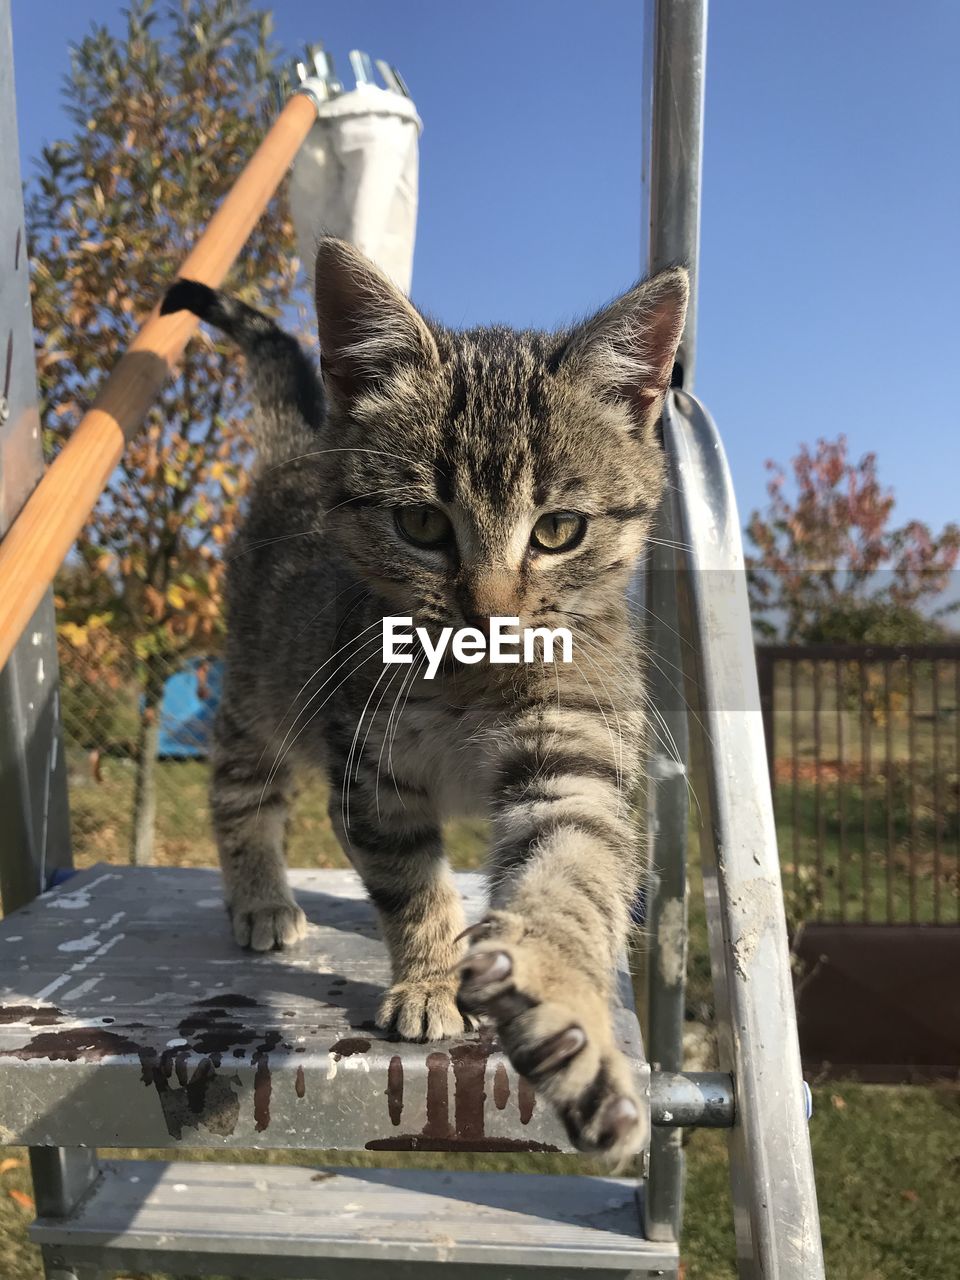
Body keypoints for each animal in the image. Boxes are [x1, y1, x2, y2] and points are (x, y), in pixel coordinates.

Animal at [167, 241, 691, 1172]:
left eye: (558, 529)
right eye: (420, 524)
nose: (489, 612)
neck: (468, 685)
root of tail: (307, 445)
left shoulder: (574, 760)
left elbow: (571, 880)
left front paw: (567, 1029)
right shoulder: (371, 770)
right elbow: (413, 886)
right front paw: (431, 977)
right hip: (263, 691)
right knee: (239, 790)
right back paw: (260, 897)